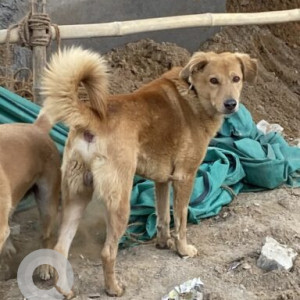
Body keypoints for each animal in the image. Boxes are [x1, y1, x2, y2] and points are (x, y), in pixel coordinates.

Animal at [40, 47, 258, 296]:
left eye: (236, 78)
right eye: (214, 80)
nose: (231, 104)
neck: (192, 93)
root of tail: (92, 116)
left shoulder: (161, 181)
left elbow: (163, 215)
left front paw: (164, 243)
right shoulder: (185, 177)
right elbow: (181, 220)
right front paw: (183, 250)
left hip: (76, 196)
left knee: (60, 247)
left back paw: (65, 290)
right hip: (120, 203)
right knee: (107, 252)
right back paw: (113, 288)